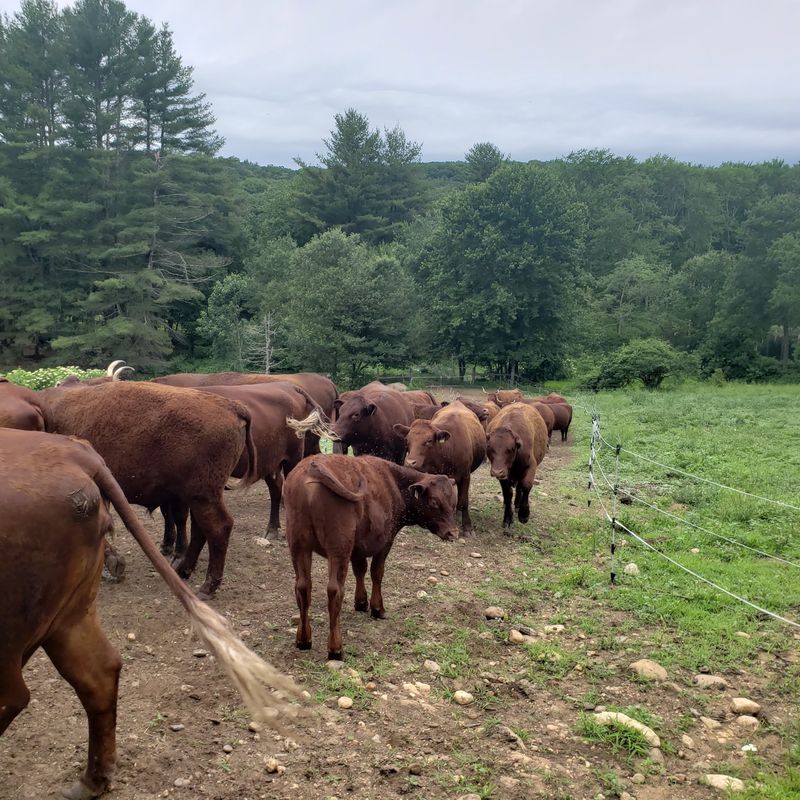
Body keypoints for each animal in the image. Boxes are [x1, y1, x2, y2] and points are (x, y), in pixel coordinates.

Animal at [42, 381, 258, 598]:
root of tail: (232, 406)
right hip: (200, 497)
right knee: (200, 529)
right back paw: (183, 569)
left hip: (203, 496)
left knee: (219, 528)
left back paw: (207, 587)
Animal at [284, 454, 458, 660]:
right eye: (433, 502)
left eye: (453, 503)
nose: (453, 533)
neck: (393, 482)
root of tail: (312, 466)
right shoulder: (385, 542)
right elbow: (377, 573)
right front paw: (377, 608)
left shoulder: (357, 548)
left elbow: (360, 570)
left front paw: (361, 602)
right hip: (338, 549)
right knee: (334, 590)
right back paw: (335, 648)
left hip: (299, 546)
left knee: (303, 587)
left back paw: (303, 640)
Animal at [393, 400, 486, 536]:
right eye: (407, 441)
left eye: (429, 441)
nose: (410, 463)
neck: (448, 449)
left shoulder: (466, 476)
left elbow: (464, 501)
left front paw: (467, 527)